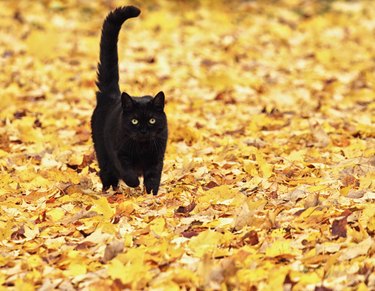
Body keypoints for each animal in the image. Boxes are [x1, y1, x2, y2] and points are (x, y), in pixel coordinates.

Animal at [90, 5, 168, 196]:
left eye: (152, 120)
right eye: (134, 121)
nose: (143, 131)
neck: (142, 148)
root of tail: (110, 95)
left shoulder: (157, 158)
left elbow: (153, 179)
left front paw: (151, 196)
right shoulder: (119, 154)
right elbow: (127, 172)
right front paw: (135, 183)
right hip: (102, 152)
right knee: (107, 174)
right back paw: (110, 191)